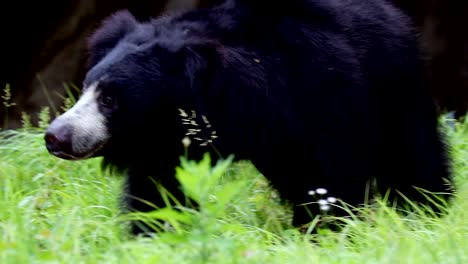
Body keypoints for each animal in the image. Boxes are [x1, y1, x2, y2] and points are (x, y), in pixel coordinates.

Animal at [44, 0, 454, 235]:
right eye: (86, 87)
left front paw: (326, 232)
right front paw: (156, 233)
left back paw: (427, 210)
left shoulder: (319, 95)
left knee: (412, 155)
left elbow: (330, 176)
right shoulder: (164, 145)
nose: (56, 136)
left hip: (393, 84)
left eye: (110, 99)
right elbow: (159, 192)